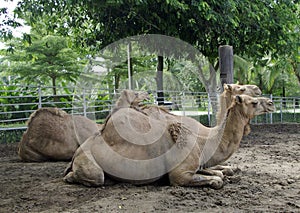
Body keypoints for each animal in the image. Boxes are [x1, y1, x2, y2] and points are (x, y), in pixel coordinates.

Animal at [64, 93, 276, 188]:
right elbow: (217, 179)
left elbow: (220, 172)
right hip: (89, 162)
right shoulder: (180, 174)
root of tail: (77, 153)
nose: (271, 102)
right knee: (95, 177)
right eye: (253, 102)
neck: (202, 140)